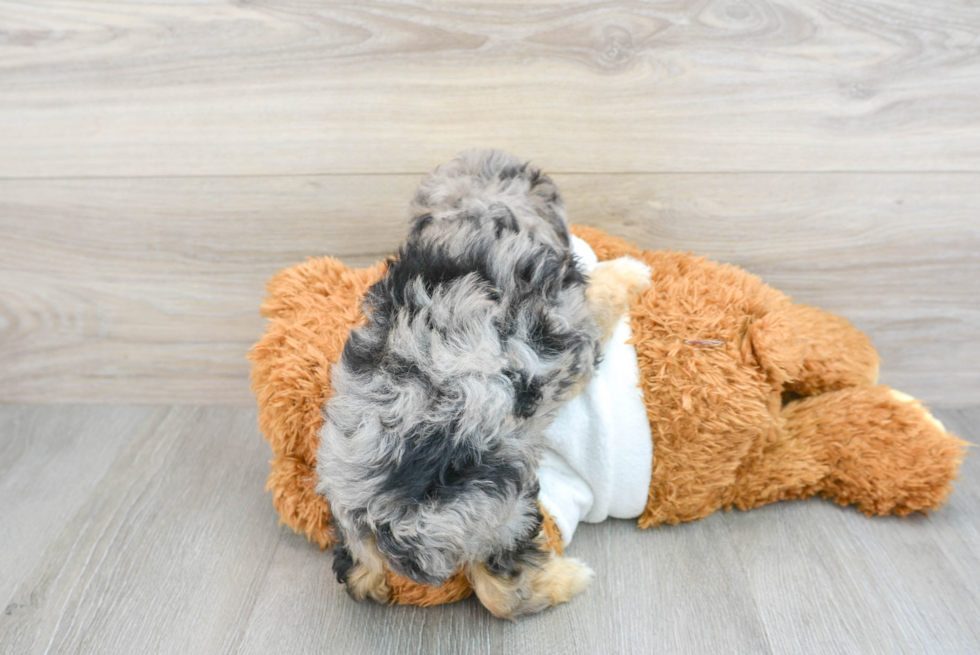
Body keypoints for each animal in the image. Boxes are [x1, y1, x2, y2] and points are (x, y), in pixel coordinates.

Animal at [316, 150, 652, 620]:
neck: (474, 211)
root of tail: (390, 525)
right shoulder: (570, 327)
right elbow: (598, 299)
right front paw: (629, 272)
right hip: (501, 505)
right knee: (502, 590)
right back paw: (566, 580)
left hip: (351, 515)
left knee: (355, 575)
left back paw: (370, 580)